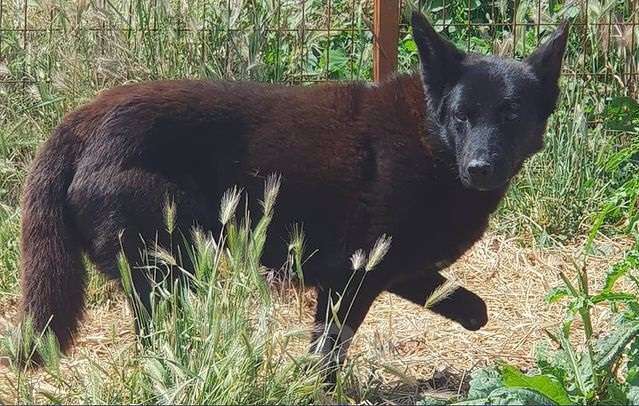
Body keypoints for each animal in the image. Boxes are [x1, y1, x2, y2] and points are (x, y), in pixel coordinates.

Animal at [18, 12, 568, 366]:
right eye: (461, 115)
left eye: (510, 115)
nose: (479, 168)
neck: (431, 139)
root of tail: (80, 123)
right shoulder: (352, 277)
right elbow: (327, 353)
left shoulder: (389, 268)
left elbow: (472, 308)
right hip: (166, 268)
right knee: (159, 341)